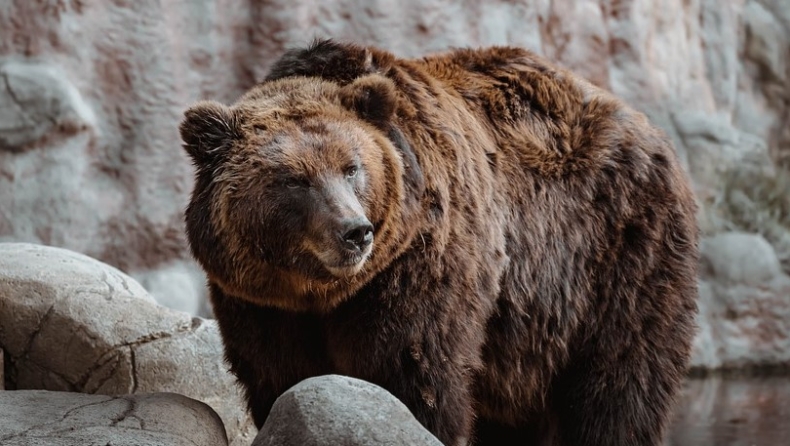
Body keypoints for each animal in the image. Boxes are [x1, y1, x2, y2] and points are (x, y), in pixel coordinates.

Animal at [179, 39, 700, 446]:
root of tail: (651, 130)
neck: (319, 292)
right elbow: (279, 375)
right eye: (293, 179)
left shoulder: (419, 263)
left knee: (619, 384)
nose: (355, 231)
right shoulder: (261, 303)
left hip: (616, 257)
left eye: (352, 167)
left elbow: (412, 371)